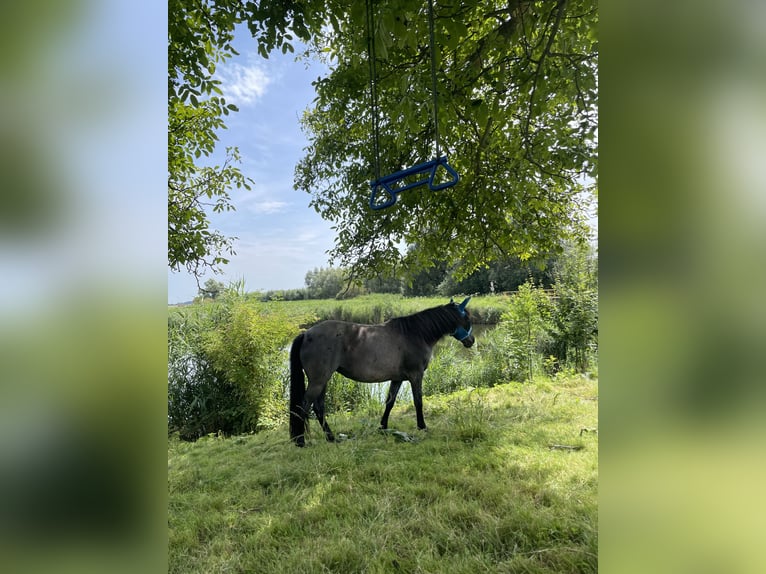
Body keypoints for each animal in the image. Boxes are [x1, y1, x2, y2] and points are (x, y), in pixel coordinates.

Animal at [292, 300, 476, 448]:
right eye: (467, 318)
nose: (471, 340)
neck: (416, 334)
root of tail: (306, 334)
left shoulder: (397, 379)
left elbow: (390, 402)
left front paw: (383, 427)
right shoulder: (416, 376)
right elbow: (418, 401)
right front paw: (422, 427)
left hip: (323, 380)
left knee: (319, 408)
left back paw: (331, 438)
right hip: (319, 380)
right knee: (304, 406)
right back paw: (301, 441)